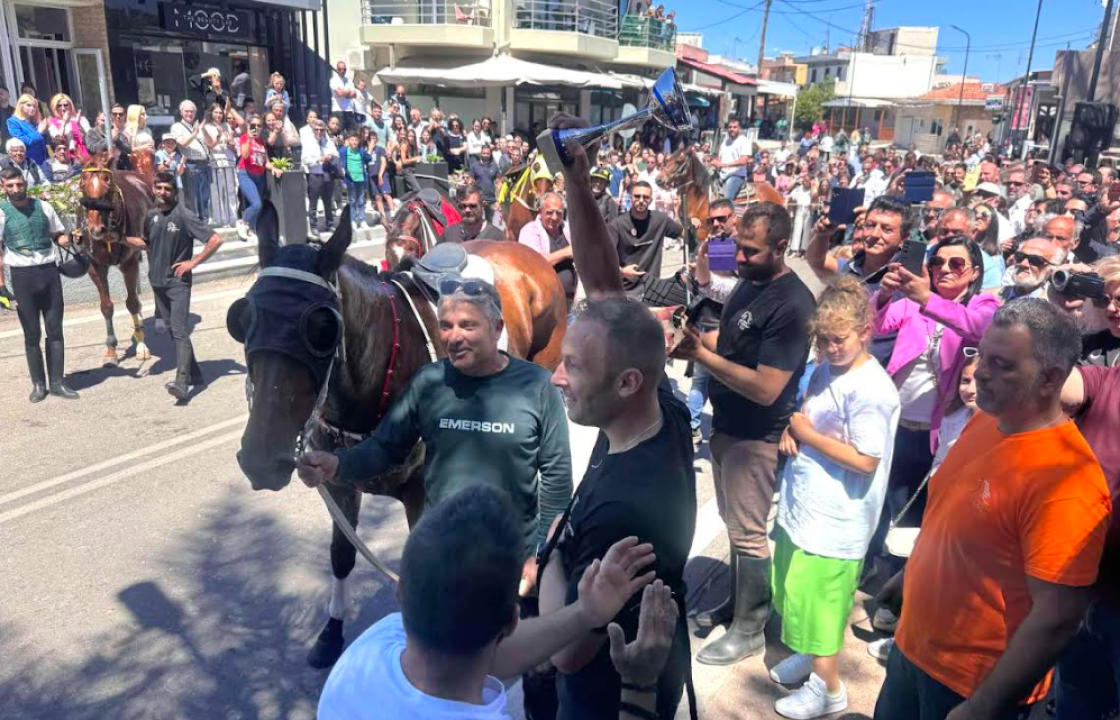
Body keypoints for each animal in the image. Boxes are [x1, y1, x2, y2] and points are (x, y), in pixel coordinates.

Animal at [78, 155, 156, 362]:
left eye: (108, 186)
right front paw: (111, 347)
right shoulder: (96, 266)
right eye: (82, 185)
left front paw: (142, 345)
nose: (96, 229)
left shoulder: (128, 262)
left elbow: (131, 303)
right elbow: (106, 306)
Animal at [232, 202, 568, 671]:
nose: (261, 459)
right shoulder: (341, 482)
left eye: (322, 329)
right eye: (243, 319)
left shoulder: (420, 495)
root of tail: (527, 252)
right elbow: (341, 554)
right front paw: (331, 632)